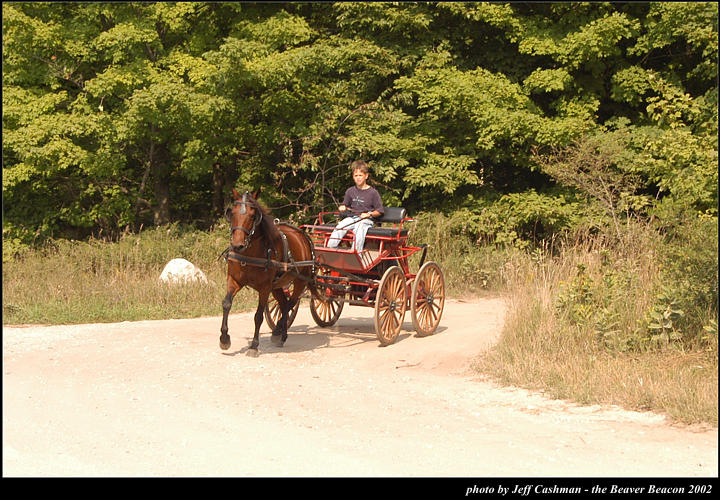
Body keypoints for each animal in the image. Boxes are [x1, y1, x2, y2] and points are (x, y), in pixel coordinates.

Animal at [219, 188, 316, 356]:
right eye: (232, 213)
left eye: (253, 216)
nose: (237, 245)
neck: (249, 254)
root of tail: (302, 235)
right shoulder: (234, 280)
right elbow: (226, 304)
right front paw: (224, 339)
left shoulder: (264, 288)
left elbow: (258, 316)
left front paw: (254, 345)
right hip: (277, 285)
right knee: (284, 304)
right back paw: (280, 333)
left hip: (300, 281)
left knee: (290, 303)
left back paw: (279, 332)